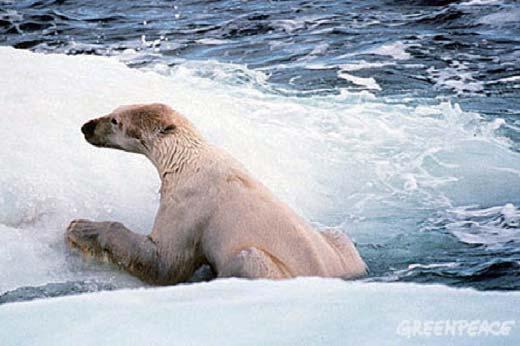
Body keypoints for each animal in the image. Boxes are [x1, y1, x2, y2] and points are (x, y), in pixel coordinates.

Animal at [66, 102, 366, 284]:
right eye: (114, 109)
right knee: (338, 234)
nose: (86, 126)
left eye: (115, 120)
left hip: (272, 266)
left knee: (248, 259)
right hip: (344, 253)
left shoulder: (191, 203)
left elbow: (165, 262)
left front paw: (81, 228)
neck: (190, 159)